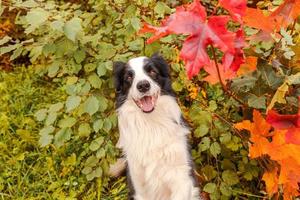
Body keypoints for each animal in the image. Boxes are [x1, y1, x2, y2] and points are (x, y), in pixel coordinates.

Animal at [112, 53, 199, 200]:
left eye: (152, 71)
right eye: (129, 77)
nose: (143, 85)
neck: (151, 123)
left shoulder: (182, 177)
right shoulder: (139, 185)